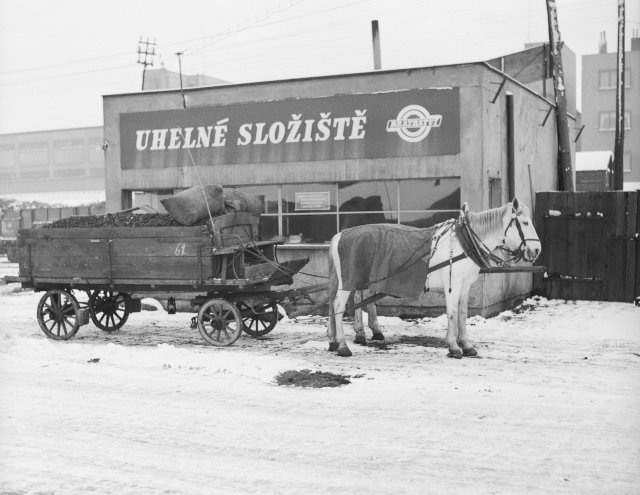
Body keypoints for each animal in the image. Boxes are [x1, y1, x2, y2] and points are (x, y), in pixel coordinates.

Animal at [324, 200, 540, 358]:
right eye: (525, 223)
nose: (537, 250)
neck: (463, 243)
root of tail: (339, 235)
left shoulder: (465, 286)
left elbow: (462, 314)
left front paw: (467, 345)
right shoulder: (453, 285)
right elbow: (452, 313)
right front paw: (454, 347)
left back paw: (335, 341)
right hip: (348, 283)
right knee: (339, 306)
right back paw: (343, 346)